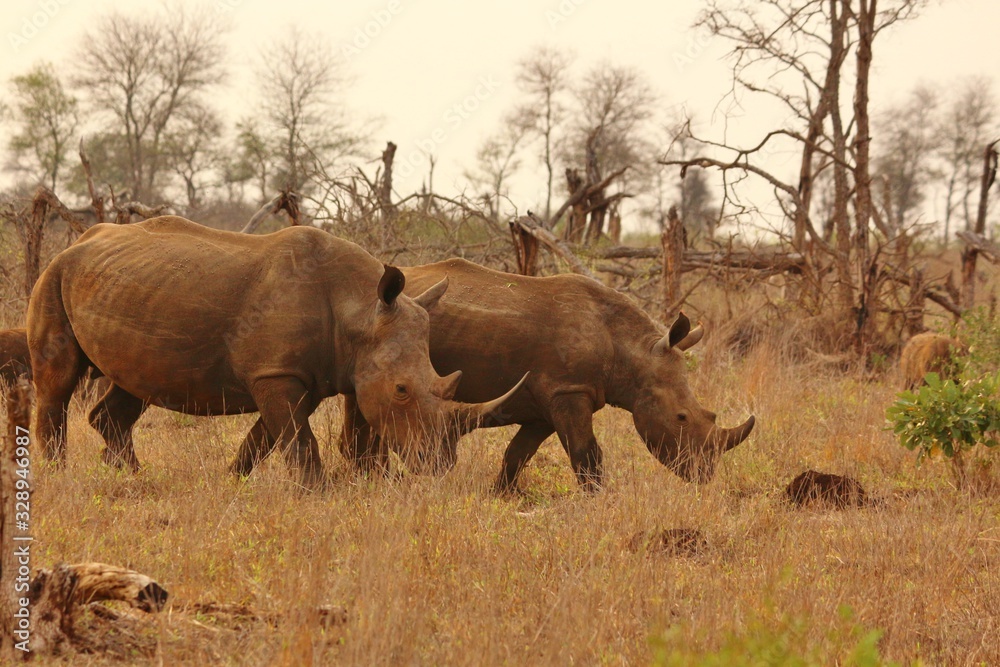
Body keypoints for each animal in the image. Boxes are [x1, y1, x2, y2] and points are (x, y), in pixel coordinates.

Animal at [28, 217, 524, 487]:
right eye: (401, 390)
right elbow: (297, 440)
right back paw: (59, 475)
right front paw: (318, 493)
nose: (439, 464)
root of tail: (79, 240)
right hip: (53, 276)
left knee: (133, 384)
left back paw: (131, 477)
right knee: (58, 382)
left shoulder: (292, 374)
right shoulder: (276, 373)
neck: (361, 310)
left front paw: (232, 481)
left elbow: (267, 437)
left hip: (126, 288)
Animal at [235, 257, 756, 492]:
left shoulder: (548, 400)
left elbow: (518, 453)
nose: (705, 476)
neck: (632, 351)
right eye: (682, 419)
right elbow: (586, 454)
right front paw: (600, 500)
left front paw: (501, 495)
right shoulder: (569, 392)